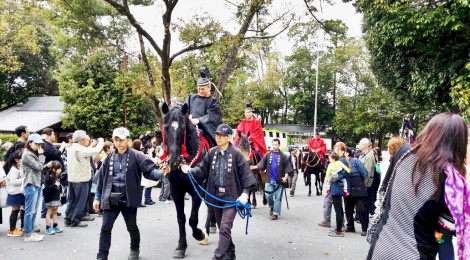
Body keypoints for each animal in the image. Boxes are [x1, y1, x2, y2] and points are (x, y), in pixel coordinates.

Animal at [163, 103, 211, 258]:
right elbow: (181, 219)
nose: (173, 161)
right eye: (166, 127)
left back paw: (208, 231)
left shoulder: (197, 191)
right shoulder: (176, 190)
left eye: (183, 128)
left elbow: (192, 220)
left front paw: (199, 234)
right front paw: (181, 247)